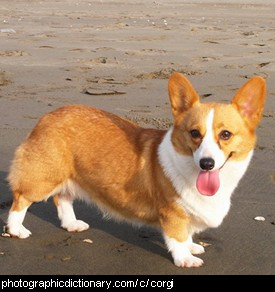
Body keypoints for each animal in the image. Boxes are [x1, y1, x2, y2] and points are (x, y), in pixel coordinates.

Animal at [5, 72, 266, 266]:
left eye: (225, 134)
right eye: (194, 133)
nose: (207, 163)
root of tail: (46, 117)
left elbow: (188, 232)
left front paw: (193, 246)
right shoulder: (172, 213)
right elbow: (178, 236)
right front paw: (185, 258)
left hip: (72, 178)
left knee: (63, 199)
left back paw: (72, 224)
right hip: (42, 180)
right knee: (20, 200)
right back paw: (16, 230)